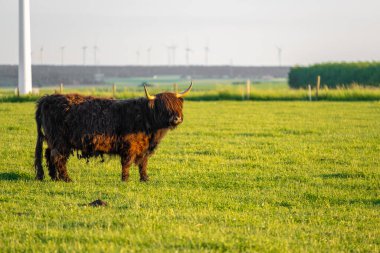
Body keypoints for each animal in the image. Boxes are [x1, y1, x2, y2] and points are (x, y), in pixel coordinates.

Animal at [34, 83, 191, 182]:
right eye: (164, 106)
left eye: (177, 106)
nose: (176, 118)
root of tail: (47, 98)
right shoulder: (129, 145)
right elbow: (127, 162)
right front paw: (125, 179)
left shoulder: (144, 148)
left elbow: (143, 163)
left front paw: (145, 179)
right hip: (60, 140)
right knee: (58, 157)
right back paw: (66, 179)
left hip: (53, 140)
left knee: (49, 154)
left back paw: (54, 177)